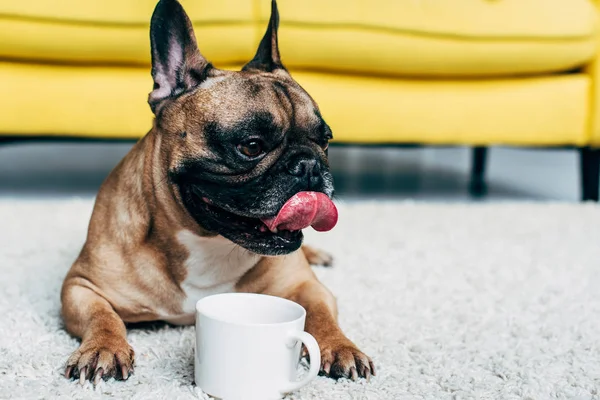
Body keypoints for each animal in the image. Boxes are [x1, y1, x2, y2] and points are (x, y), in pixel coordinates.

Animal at [58, 0, 372, 384]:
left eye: (325, 140)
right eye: (251, 145)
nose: (309, 165)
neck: (207, 241)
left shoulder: (308, 287)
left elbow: (321, 314)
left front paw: (341, 346)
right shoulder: (81, 286)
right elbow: (103, 316)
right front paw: (104, 347)